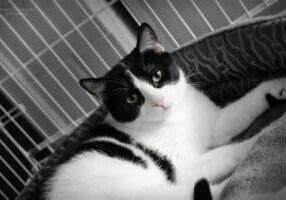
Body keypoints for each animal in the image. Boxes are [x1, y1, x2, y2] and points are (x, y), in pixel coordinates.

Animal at [42, 22, 286, 199]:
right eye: (132, 98)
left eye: (156, 76)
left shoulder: (216, 123)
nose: (158, 101)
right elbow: (229, 151)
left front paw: (277, 86)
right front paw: (263, 136)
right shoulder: (182, 169)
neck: (177, 117)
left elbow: (247, 104)